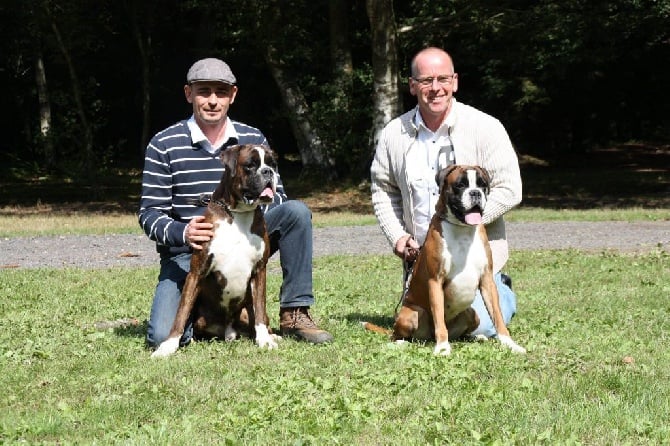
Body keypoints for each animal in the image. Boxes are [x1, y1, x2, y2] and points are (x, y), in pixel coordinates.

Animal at [152, 145, 280, 358]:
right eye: (250, 165)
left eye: (272, 164)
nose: (268, 172)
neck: (238, 214)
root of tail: (228, 330)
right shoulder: (196, 272)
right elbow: (181, 313)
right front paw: (168, 346)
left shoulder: (259, 270)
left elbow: (260, 310)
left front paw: (264, 340)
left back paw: (272, 335)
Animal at [364, 164, 528, 356]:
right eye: (460, 185)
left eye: (482, 185)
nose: (475, 193)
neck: (462, 229)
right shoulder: (435, 281)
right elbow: (439, 320)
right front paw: (442, 347)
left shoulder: (487, 280)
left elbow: (497, 316)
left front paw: (509, 343)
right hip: (411, 314)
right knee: (400, 335)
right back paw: (401, 342)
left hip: (472, 314)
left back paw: (476, 337)